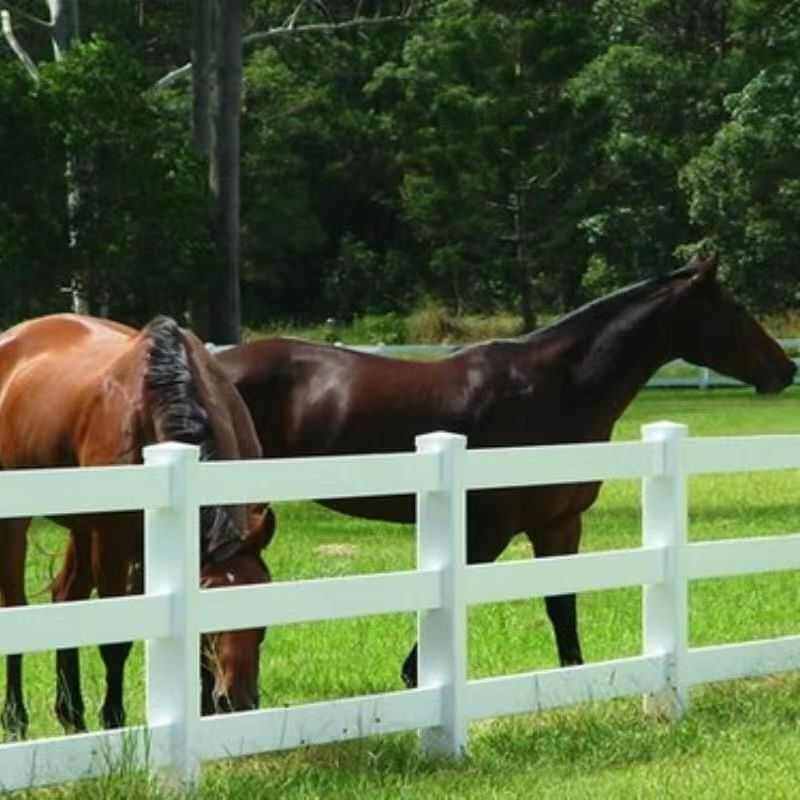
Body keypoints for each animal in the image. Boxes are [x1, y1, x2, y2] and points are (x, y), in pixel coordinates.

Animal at [0, 313, 274, 739]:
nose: (238, 701)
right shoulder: (114, 541)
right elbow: (117, 642)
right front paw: (113, 720)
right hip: (21, 524)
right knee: (15, 607)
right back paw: (16, 719)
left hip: (82, 529)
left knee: (65, 595)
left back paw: (72, 716)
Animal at [215, 254, 796, 688]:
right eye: (732, 309)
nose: (785, 368)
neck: (558, 387)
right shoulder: (489, 530)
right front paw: (415, 679)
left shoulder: (558, 524)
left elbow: (561, 606)